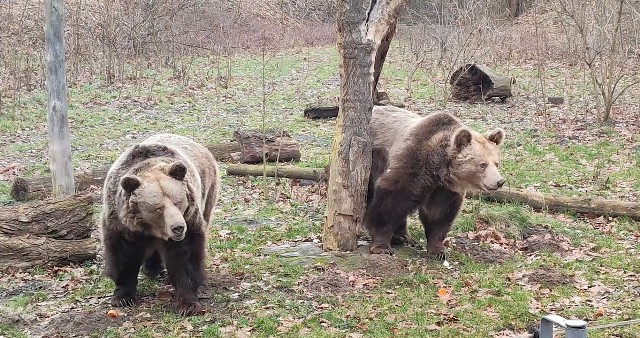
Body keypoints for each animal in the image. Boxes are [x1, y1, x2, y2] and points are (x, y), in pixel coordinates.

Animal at [99, 133, 220, 316]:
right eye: (158, 207)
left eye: (178, 201)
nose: (178, 227)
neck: (150, 227)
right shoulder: (122, 224)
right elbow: (124, 256)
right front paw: (123, 297)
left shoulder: (189, 219)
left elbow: (185, 258)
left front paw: (187, 303)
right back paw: (152, 269)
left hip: (208, 192)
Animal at [364, 105, 504, 258]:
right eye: (482, 164)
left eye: (496, 163)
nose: (500, 182)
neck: (437, 168)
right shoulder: (412, 166)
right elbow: (389, 202)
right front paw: (382, 246)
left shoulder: (445, 189)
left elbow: (439, 215)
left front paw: (438, 250)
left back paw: (402, 237)